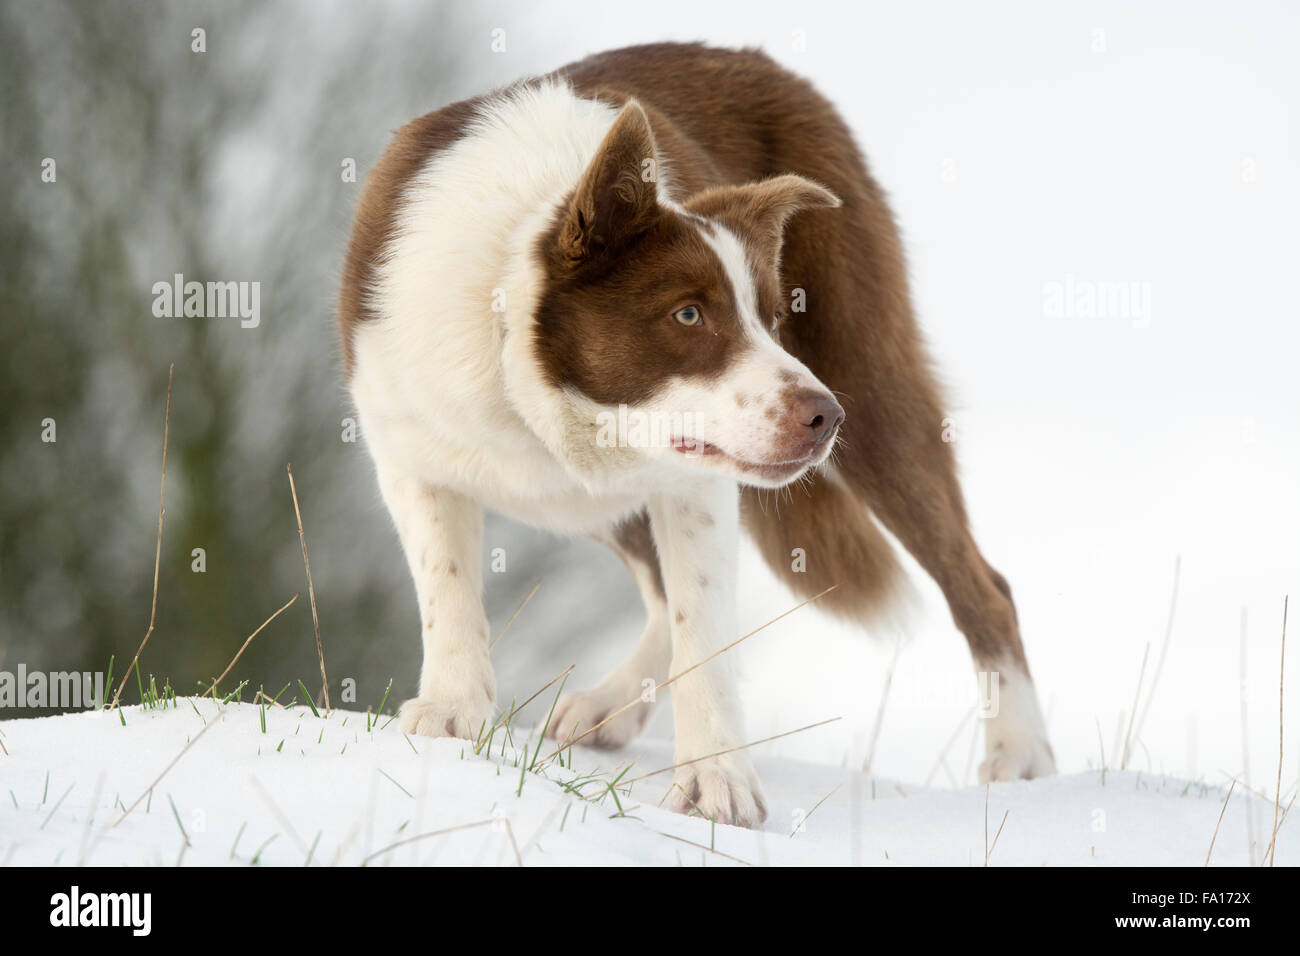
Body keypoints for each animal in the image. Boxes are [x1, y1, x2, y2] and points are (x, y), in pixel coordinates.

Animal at [338, 41, 1055, 827]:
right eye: (688, 314)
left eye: (769, 316)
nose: (824, 417)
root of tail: (762, 62)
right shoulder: (406, 447)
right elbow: (448, 586)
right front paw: (451, 713)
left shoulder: (695, 483)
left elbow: (702, 626)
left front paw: (716, 785)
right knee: (654, 592)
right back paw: (611, 707)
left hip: (873, 387)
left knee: (984, 586)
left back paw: (1022, 758)